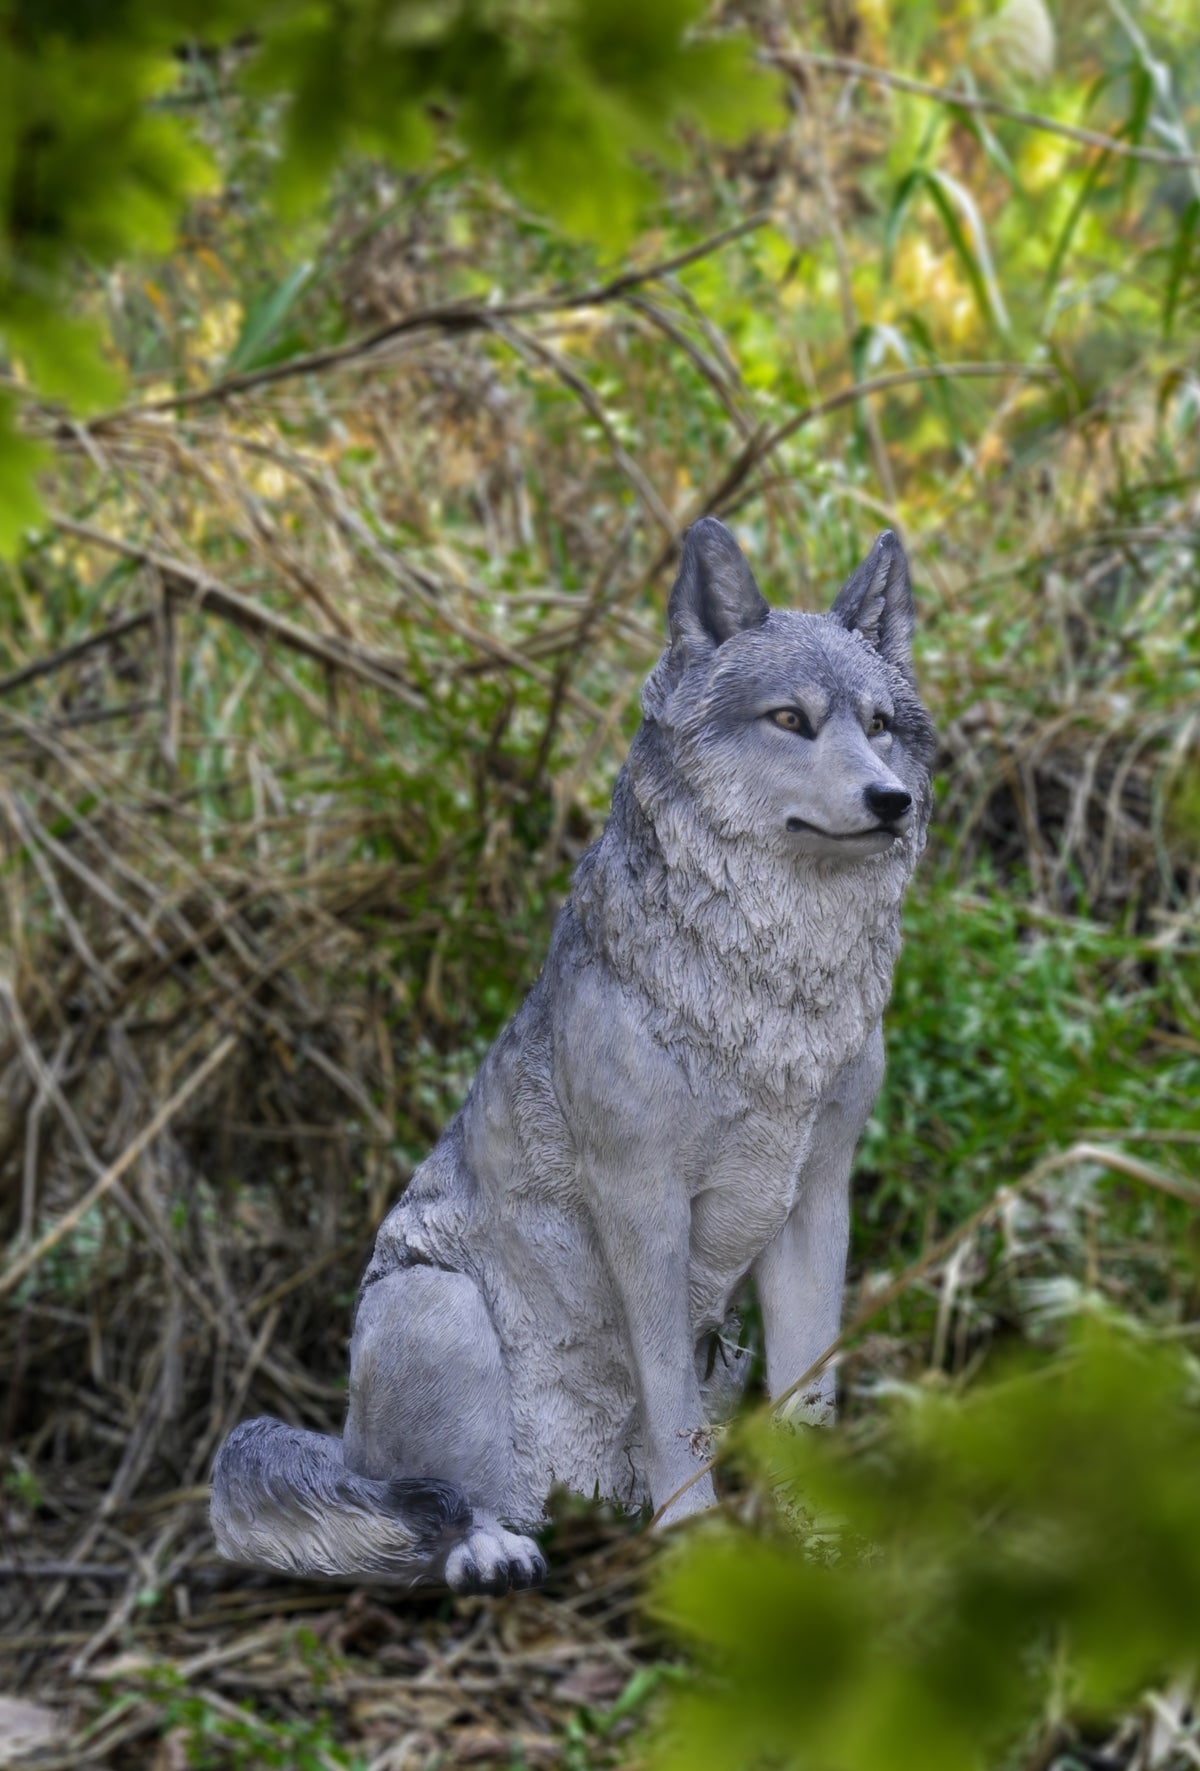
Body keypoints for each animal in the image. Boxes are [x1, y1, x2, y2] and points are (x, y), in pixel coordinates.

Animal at [211, 518, 935, 1594]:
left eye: (881, 724)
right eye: (792, 719)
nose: (890, 801)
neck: (774, 994)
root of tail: (346, 1443)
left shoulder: (817, 1200)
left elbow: (812, 1394)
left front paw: (825, 1544)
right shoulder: (640, 1199)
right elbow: (670, 1410)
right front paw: (697, 1546)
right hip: (438, 1309)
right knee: (439, 1510)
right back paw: (494, 1547)